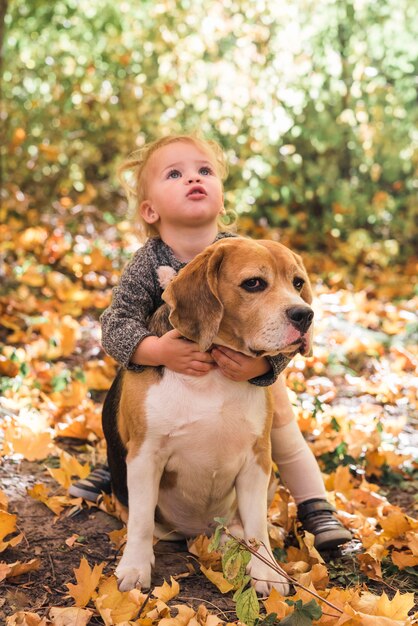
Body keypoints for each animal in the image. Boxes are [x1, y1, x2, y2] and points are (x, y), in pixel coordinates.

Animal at [103, 238, 314, 596]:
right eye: (253, 283)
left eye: (298, 283)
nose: (305, 315)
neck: (214, 373)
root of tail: (198, 532)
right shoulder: (145, 456)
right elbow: (141, 520)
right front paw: (134, 567)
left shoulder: (257, 460)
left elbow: (257, 524)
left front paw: (267, 572)